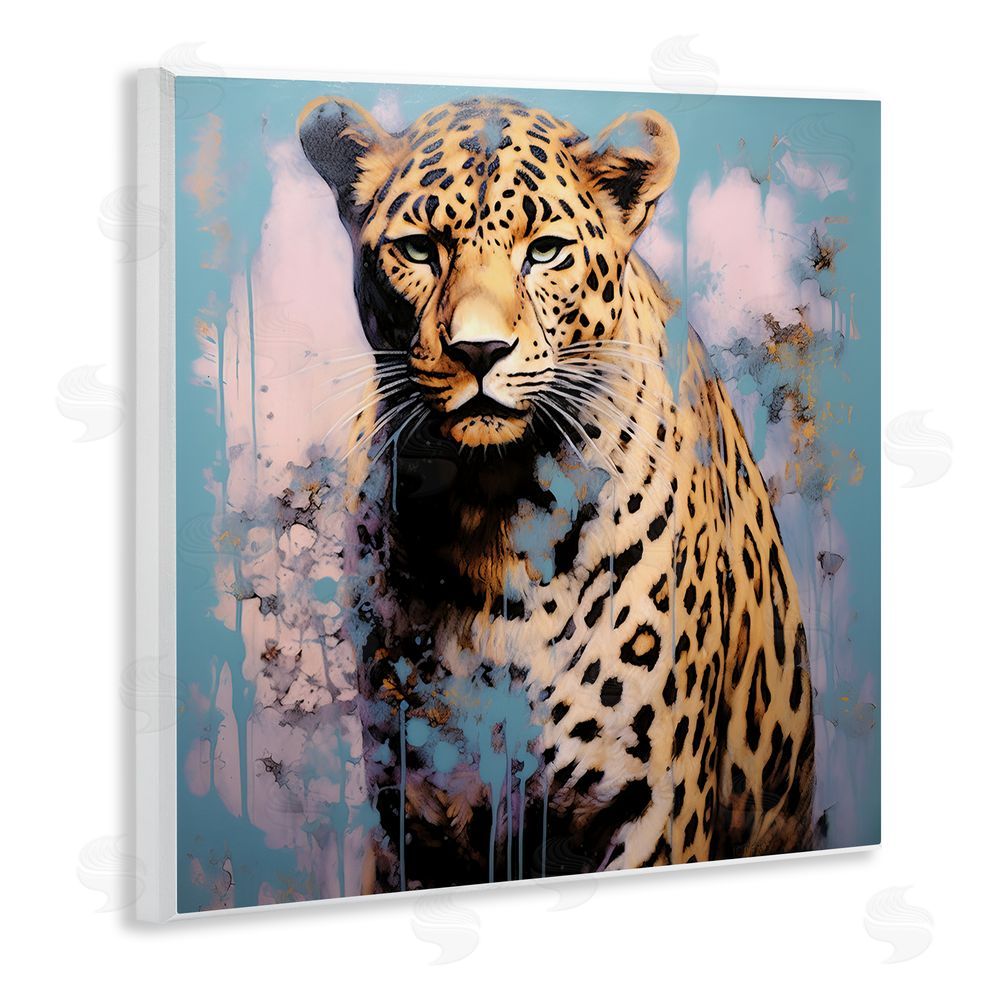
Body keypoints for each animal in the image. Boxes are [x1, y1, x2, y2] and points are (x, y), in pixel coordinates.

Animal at [299, 94, 816, 892]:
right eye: (418, 250)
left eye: (544, 251)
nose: (478, 351)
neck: (488, 514)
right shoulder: (411, 817)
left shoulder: (646, 807)